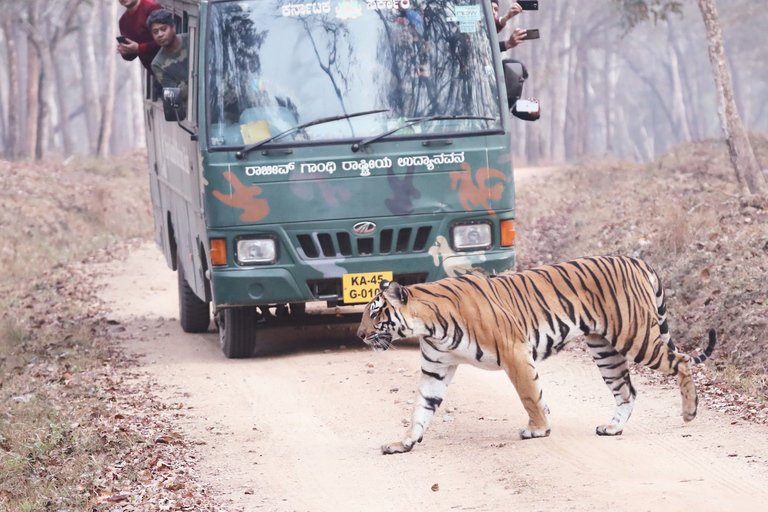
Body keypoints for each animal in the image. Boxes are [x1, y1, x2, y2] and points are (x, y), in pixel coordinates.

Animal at [356, 254, 716, 454]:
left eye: (374, 313)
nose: (359, 335)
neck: (428, 325)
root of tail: (637, 260)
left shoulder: (514, 352)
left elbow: (530, 394)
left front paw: (539, 429)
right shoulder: (436, 369)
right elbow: (420, 409)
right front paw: (403, 443)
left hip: (635, 336)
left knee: (681, 361)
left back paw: (689, 412)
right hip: (605, 350)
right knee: (627, 391)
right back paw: (612, 428)